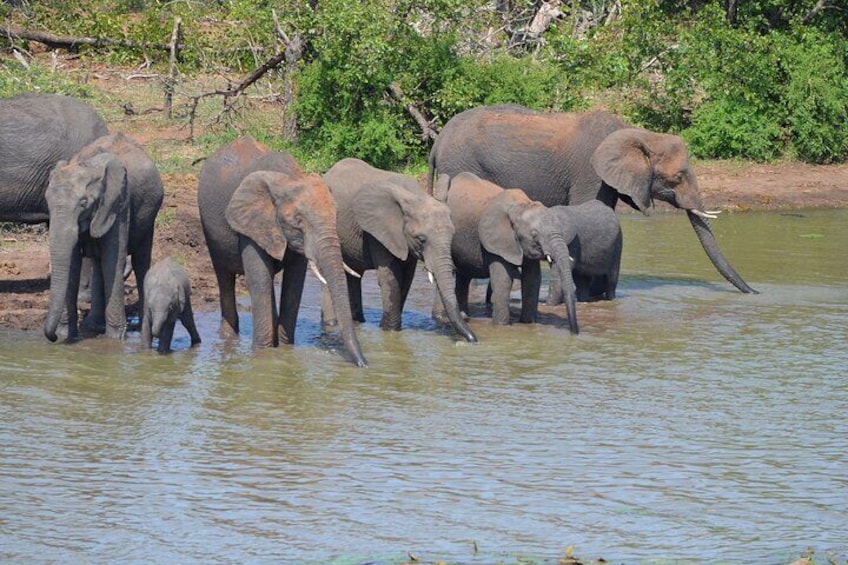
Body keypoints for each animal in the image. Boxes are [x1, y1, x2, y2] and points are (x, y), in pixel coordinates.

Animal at [41, 133, 164, 344]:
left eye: (83, 203)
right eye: (47, 201)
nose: (53, 337)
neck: (91, 166)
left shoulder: (119, 204)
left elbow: (112, 261)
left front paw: (115, 340)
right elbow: (73, 264)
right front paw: (66, 335)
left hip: (149, 215)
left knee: (140, 261)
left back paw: (139, 326)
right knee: (98, 264)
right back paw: (93, 326)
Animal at [200, 135, 370, 366]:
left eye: (335, 216)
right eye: (298, 221)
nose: (364, 364)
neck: (288, 178)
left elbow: (294, 283)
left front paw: (285, 350)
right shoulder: (250, 223)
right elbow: (259, 280)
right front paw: (262, 354)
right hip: (210, 232)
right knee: (224, 277)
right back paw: (228, 337)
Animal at [322, 156, 476, 342]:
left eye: (452, 235)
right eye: (422, 239)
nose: (473, 340)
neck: (416, 196)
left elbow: (407, 278)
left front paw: (386, 327)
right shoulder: (378, 233)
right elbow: (390, 278)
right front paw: (390, 331)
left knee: (354, 275)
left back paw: (358, 322)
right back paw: (331, 324)